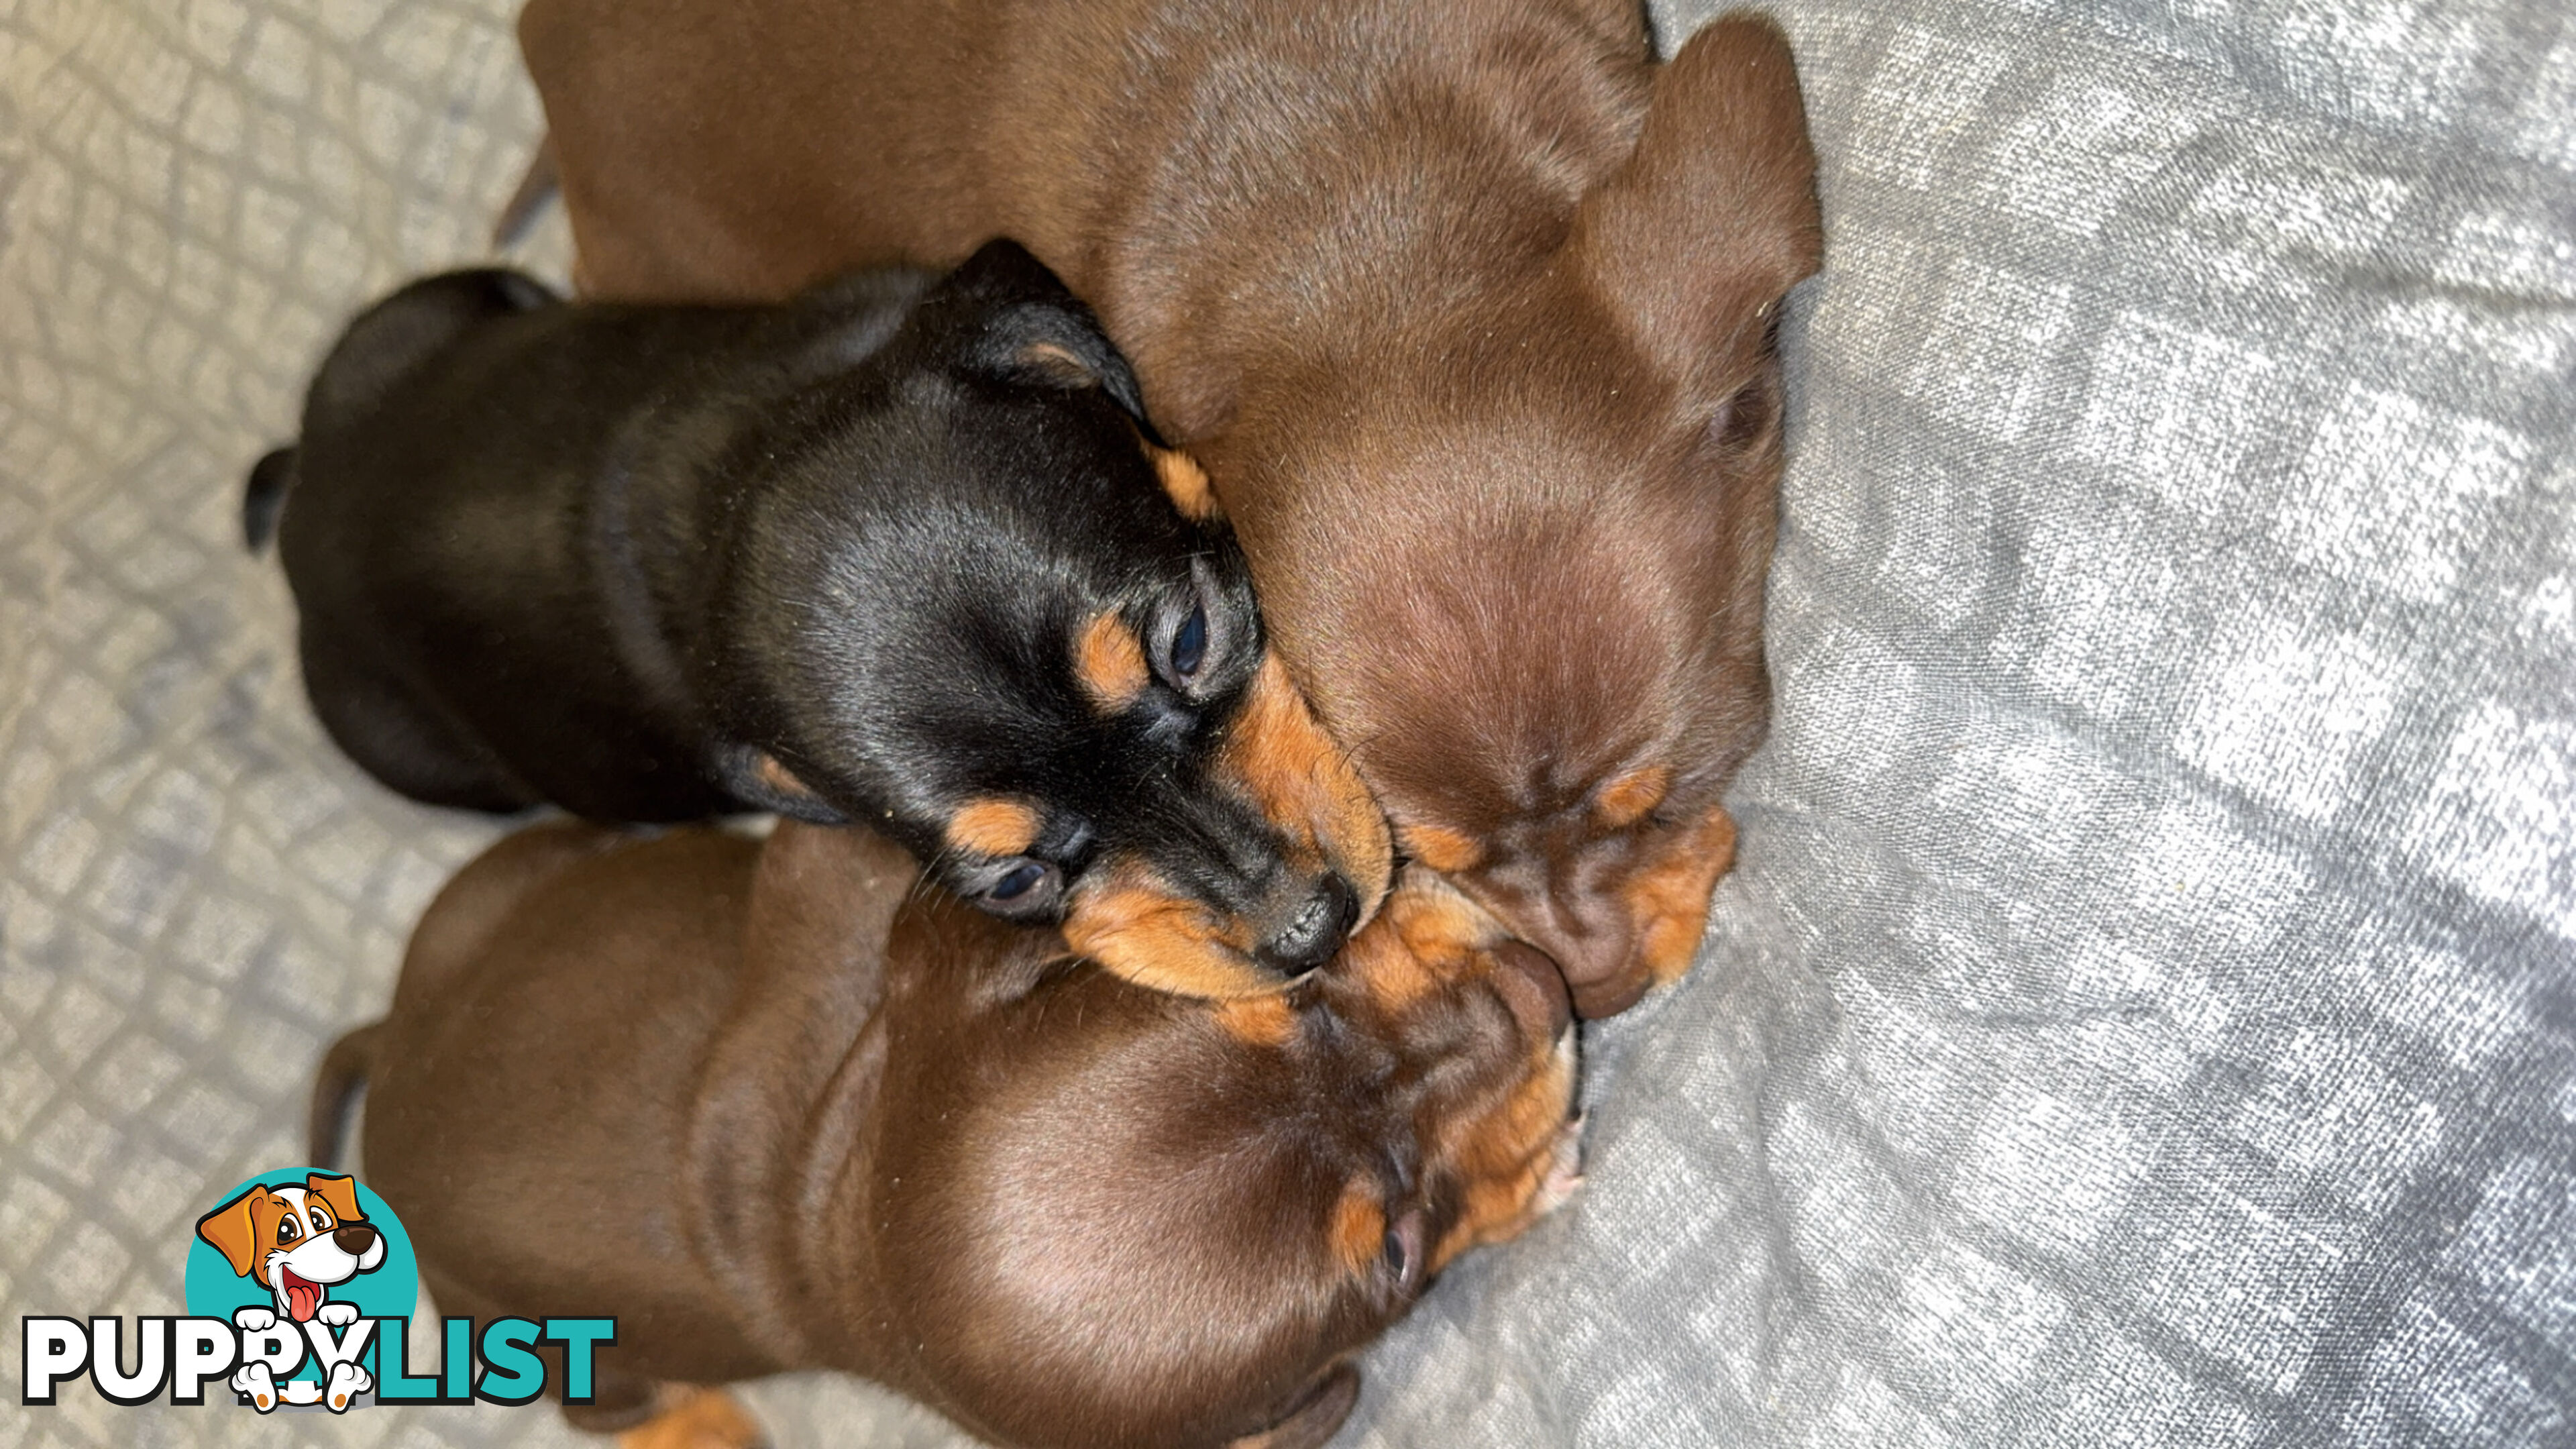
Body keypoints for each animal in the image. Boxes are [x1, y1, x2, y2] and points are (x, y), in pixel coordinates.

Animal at [246, 242, 1391, 1000]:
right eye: (1015, 880)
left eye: (1191, 642)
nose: (1308, 930)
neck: (751, 455)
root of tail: (306, 506)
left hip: (451, 301)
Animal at [314, 820, 1576, 1433]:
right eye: (1400, 1251)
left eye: (1296, 1003)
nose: (1536, 994)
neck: (846, 1189)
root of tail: (397, 1061)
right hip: (534, 1342)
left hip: (504, 871)